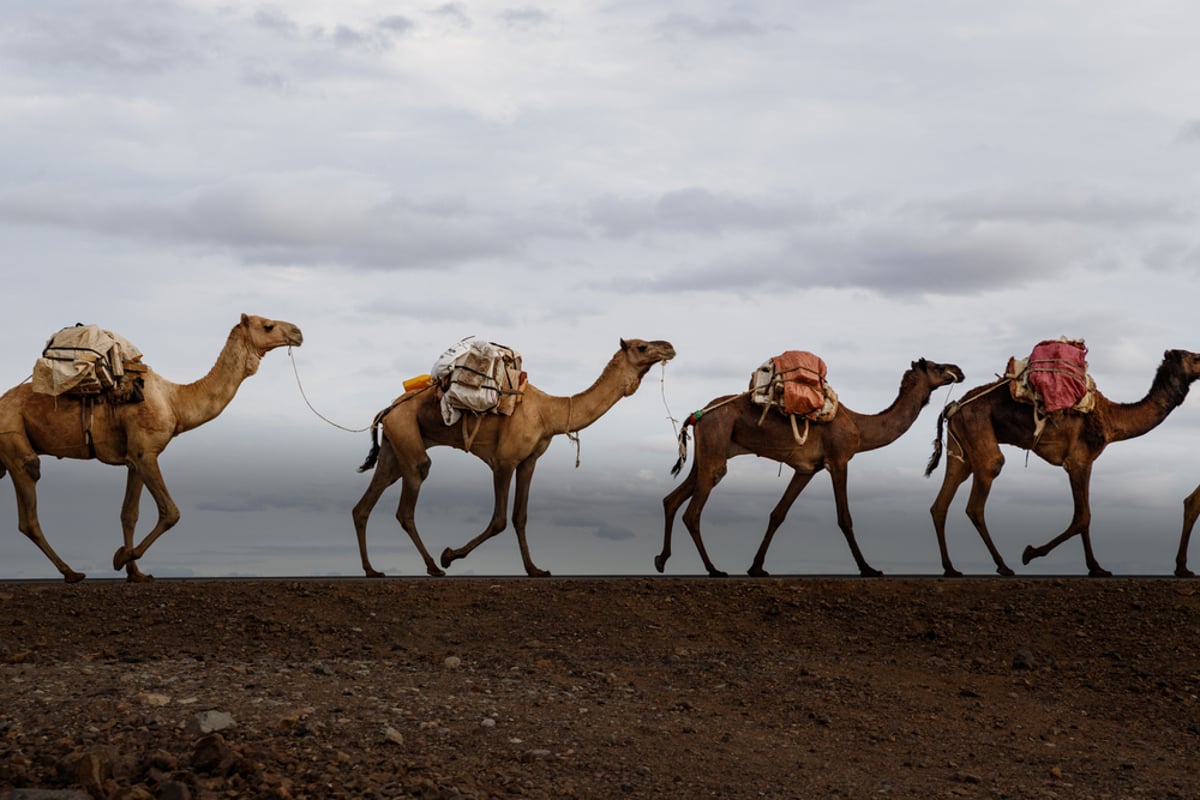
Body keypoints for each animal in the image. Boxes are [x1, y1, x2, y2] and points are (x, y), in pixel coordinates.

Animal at [0, 316, 304, 585]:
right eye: (268, 325)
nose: (298, 332)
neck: (175, 401)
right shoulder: (146, 453)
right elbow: (171, 512)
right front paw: (121, 558)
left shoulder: (135, 459)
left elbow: (128, 514)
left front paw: (136, 573)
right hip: (14, 443)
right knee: (29, 510)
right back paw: (72, 573)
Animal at [350, 335, 681, 575]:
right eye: (642, 346)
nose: (670, 346)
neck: (549, 413)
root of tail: (386, 410)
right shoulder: (504, 461)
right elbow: (499, 519)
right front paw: (449, 556)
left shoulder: (528, 462)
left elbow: (520, 516)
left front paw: (535, 569)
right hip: (407, 437)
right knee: (408, 501)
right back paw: (433, 566)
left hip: (394, 448)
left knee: (364, 505)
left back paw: (372, 570)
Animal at [657, 357, 964, 575]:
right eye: (937, 366)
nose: (959, 370)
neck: (860, 426)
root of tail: (696, 415)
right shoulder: (839, 459)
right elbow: (845, 517)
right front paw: (868, 568)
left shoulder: (806, 469)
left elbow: (778, 514)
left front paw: (757, 567)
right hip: (715, 445)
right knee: (693, 512)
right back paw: (713, 569)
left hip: (709, 451)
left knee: (672, 498)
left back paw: (662, 559)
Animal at [926, 347, 1200, 575]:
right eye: (1195, 357)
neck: (1111, 419)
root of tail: (952, 407)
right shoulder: (1078, 461)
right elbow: (1082, 516)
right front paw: (1030, 553)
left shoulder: (1085, 461)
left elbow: (1084, 516)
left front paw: (1096, 568)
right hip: (979, 433)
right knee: (980, 495)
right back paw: (1003, 566)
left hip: (961, 448)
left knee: (941, 502)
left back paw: (951, 568)